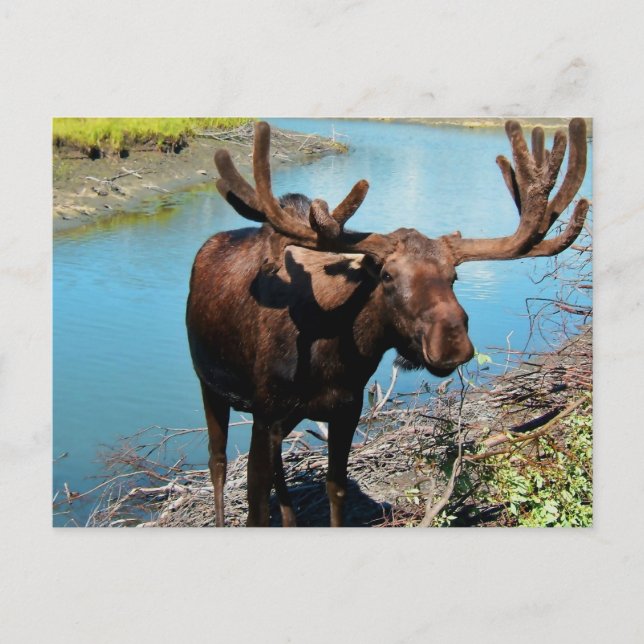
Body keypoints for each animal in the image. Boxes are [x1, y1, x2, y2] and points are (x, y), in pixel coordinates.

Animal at [186, 118, 588, 527]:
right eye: (388, 276)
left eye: (453, 277)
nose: (452, 343)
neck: (333, 354)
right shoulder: (267, 411)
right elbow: (255, 503)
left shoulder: (346, 409)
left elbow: (336, 490)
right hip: (210, 385)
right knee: (217, 463)